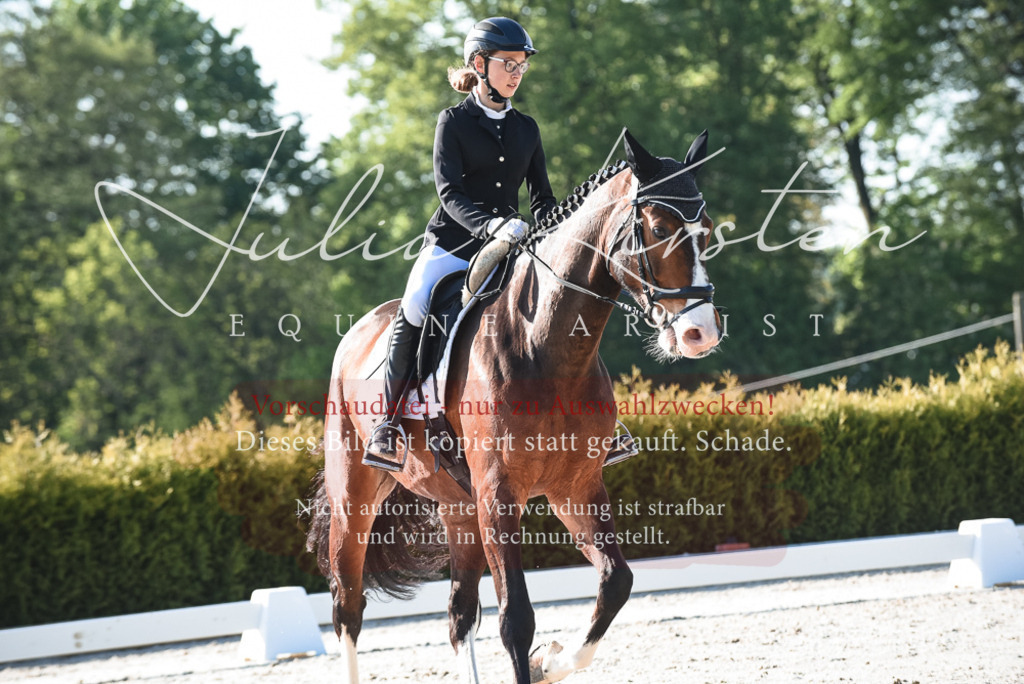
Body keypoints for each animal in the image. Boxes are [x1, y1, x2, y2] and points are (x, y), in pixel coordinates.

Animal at [306, 129, 722, 683]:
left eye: (708, 231)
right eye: (658, 228)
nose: (702, 333)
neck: (545, 346)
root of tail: (362, 328)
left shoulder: (576, 488)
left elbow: (616, 582)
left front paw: (549, 662)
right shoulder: (499, 495)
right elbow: (516, 619)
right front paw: (540, 656)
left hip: (461, 509)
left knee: (459, 613)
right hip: (355, 497)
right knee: (347, 607)